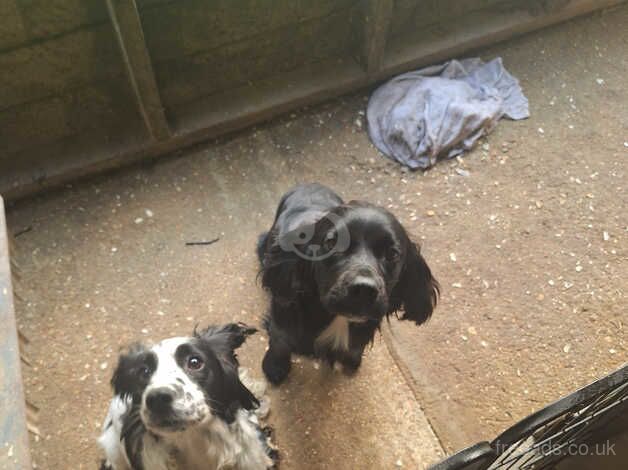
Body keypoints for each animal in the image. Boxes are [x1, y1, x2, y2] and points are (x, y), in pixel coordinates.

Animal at [258, 182, 440, 384]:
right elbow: (280, 340)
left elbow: (355, 347)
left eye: (392, 253)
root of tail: (311, 183)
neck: (336, 317)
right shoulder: (283, 314)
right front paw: (274, 366)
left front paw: (351, 360)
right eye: (331, 243)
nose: (364, 290)